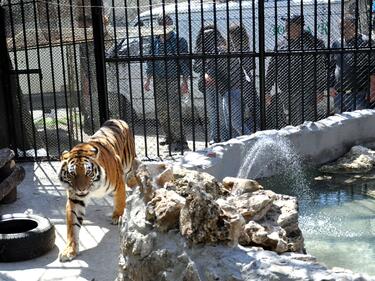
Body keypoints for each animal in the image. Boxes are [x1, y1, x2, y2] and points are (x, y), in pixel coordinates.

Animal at [57, 118, 137, 260]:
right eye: (72, 174)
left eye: (88, 173)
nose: (81, 189)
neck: (93, 188)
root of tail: (116, 119)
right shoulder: (75, 199)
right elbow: (72, 226)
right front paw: (70, 250)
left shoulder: (119, 183)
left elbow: (120, 201)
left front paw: (118, 217)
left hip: (129, 163)